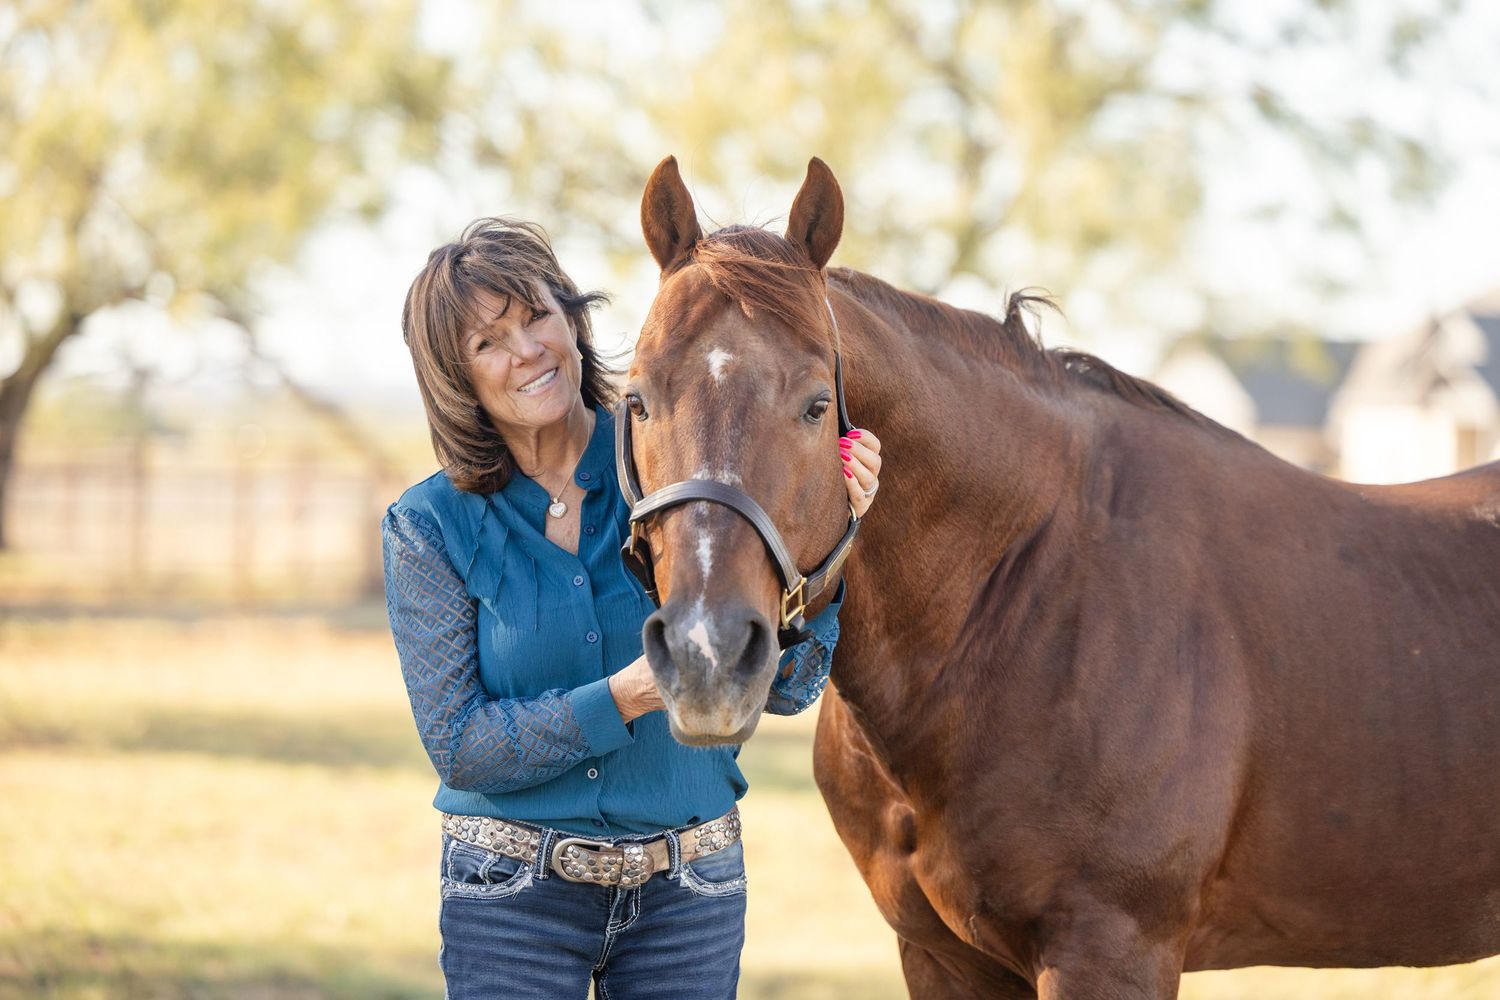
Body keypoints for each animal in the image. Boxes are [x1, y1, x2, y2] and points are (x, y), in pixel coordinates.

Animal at [622, 155, 1500, 998]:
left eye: (813, 406)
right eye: (636, 401)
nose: (706, 655)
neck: (1025, 594)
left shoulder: (1111, 951)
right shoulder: (941, 959)